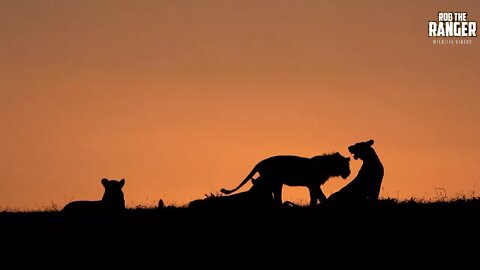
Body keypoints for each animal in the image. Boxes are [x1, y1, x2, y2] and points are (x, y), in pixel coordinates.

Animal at [220, 153, 348, 206]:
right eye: (345, 165)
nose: (348, 172)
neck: (327, 166)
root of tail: (260, 163)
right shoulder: (314, 184)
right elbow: (320, 196)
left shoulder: (311, 185)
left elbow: (315, 198)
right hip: (274, 181)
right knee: (273, 196)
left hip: (276, 182)